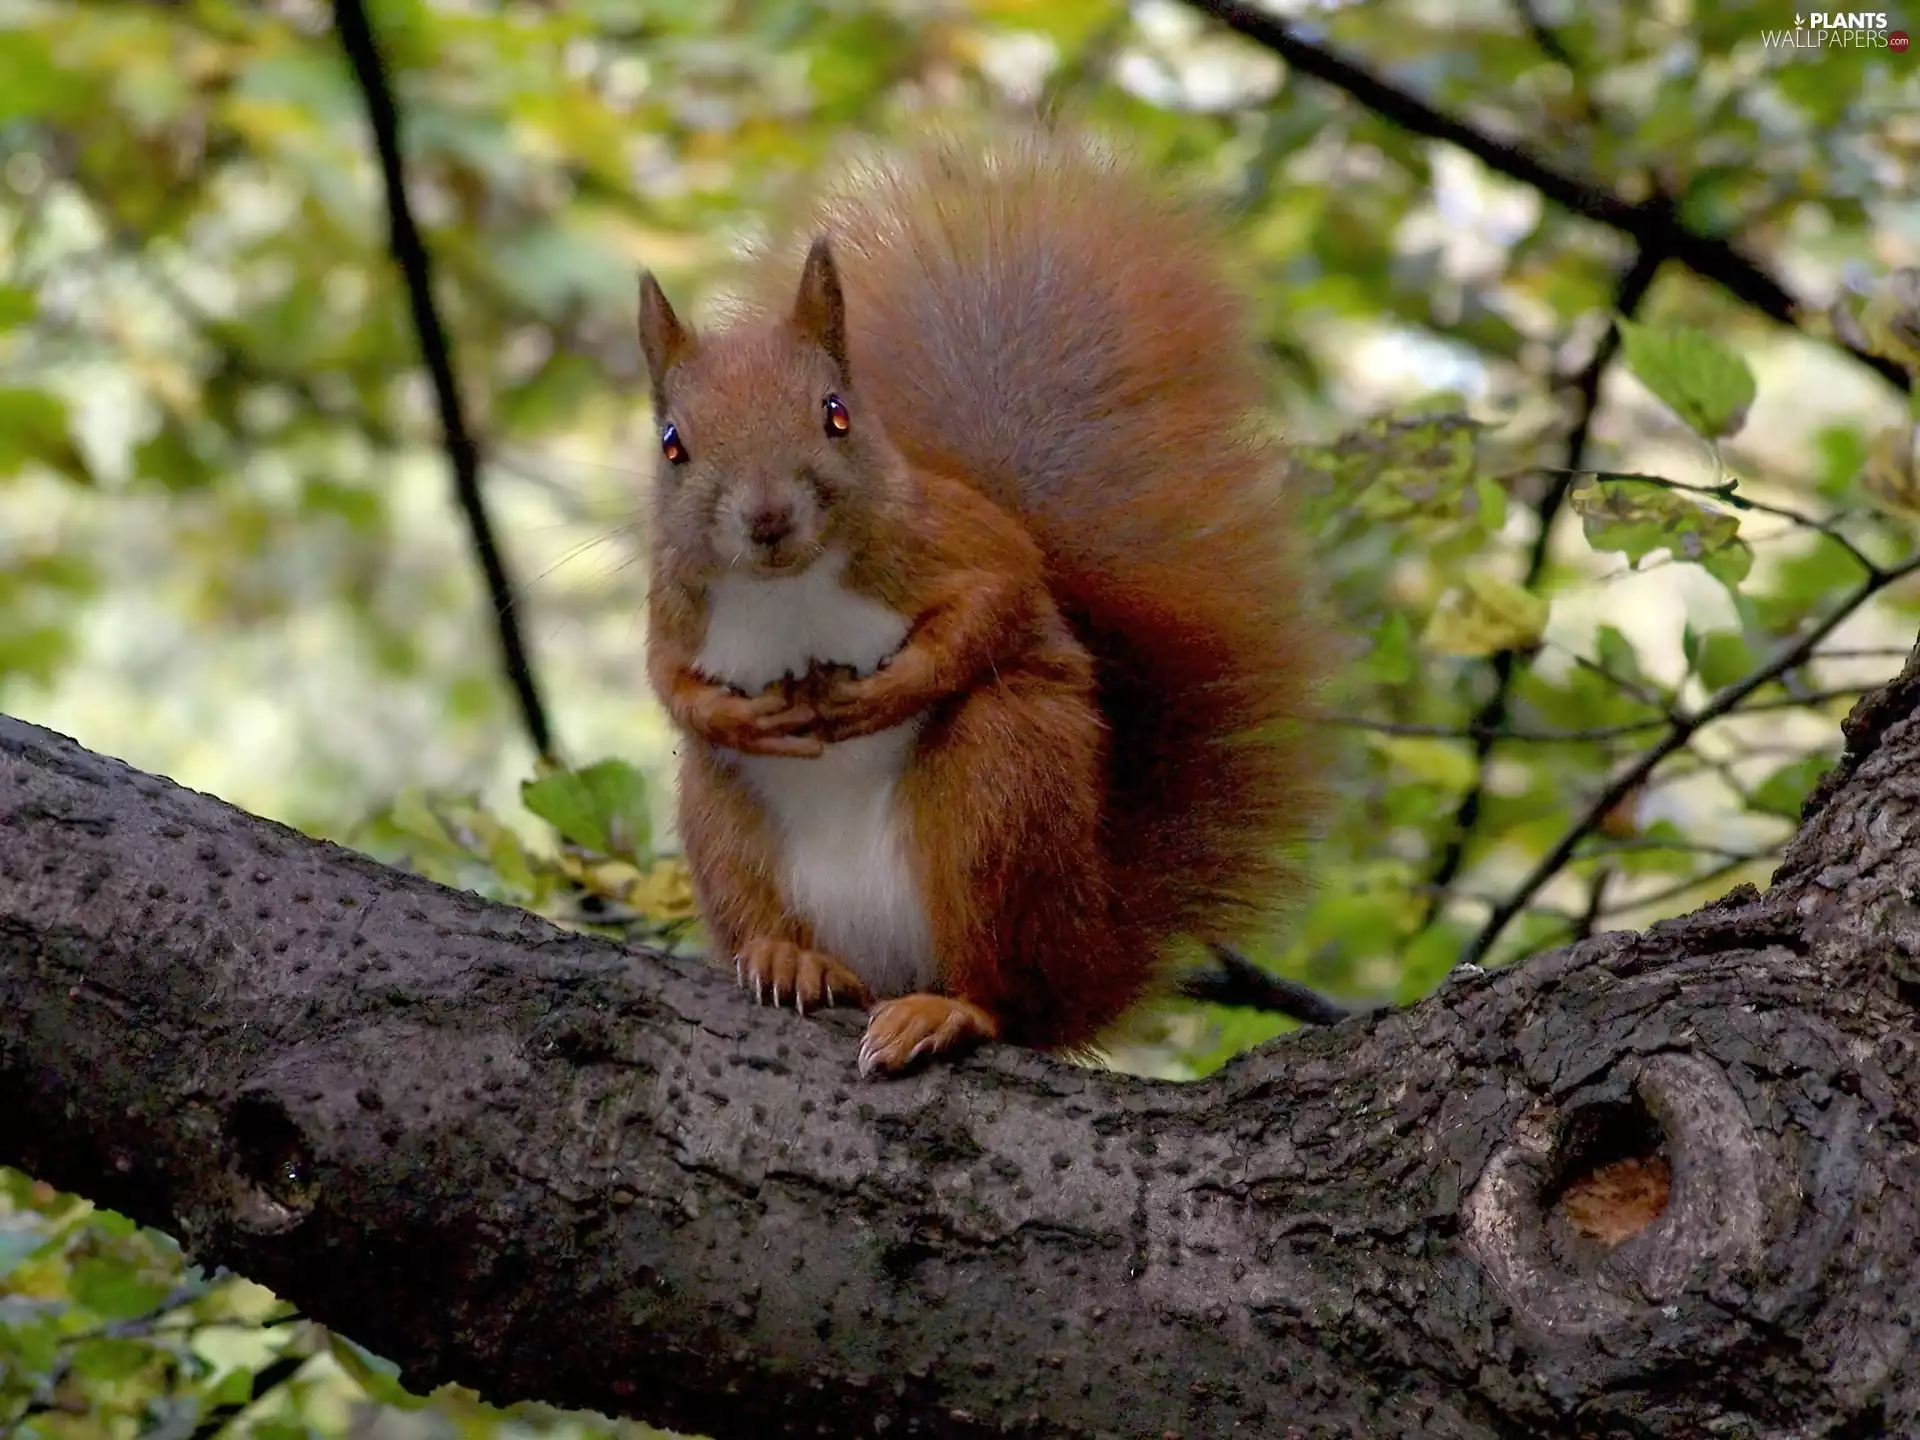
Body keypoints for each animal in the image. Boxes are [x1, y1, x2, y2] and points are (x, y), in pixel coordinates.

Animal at [638, 130, 1333, 1078]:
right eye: (673, 445)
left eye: (836, 415)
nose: (768, 517)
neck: (791, 593)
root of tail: (1089, 952)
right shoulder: (675, 605)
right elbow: (666, 680)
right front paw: (734, 715)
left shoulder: (955, 545)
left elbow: (999, 600)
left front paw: (885, 692)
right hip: (725, 822)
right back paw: (788, 957)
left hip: (999, 798)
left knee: (1009, 995)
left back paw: (954, 1009)